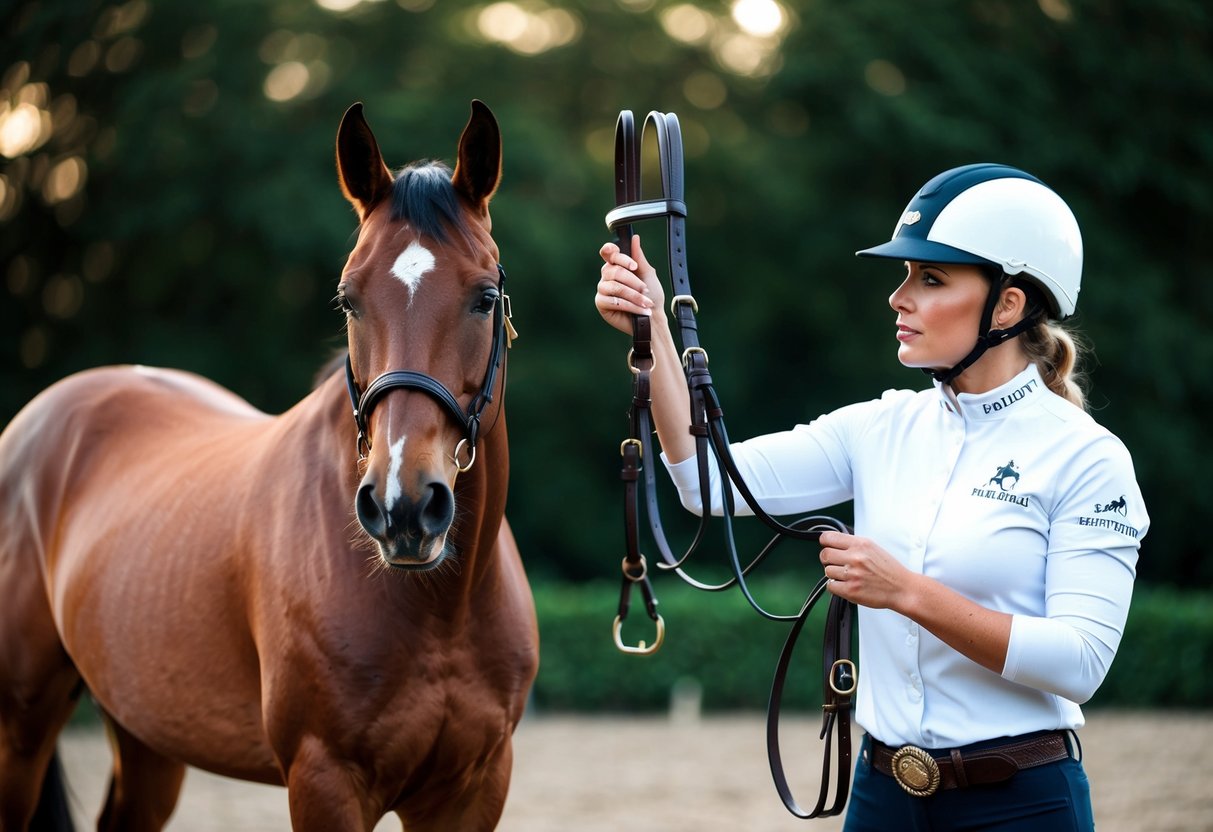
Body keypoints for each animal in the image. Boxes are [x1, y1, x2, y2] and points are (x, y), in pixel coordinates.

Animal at [0, 100, 538, 831]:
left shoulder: (473, 789)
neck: (440, 612)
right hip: (21, 728)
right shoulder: (323, 781)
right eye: (348, 299)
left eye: (484, 296)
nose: (401, 507)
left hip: (146, 734)